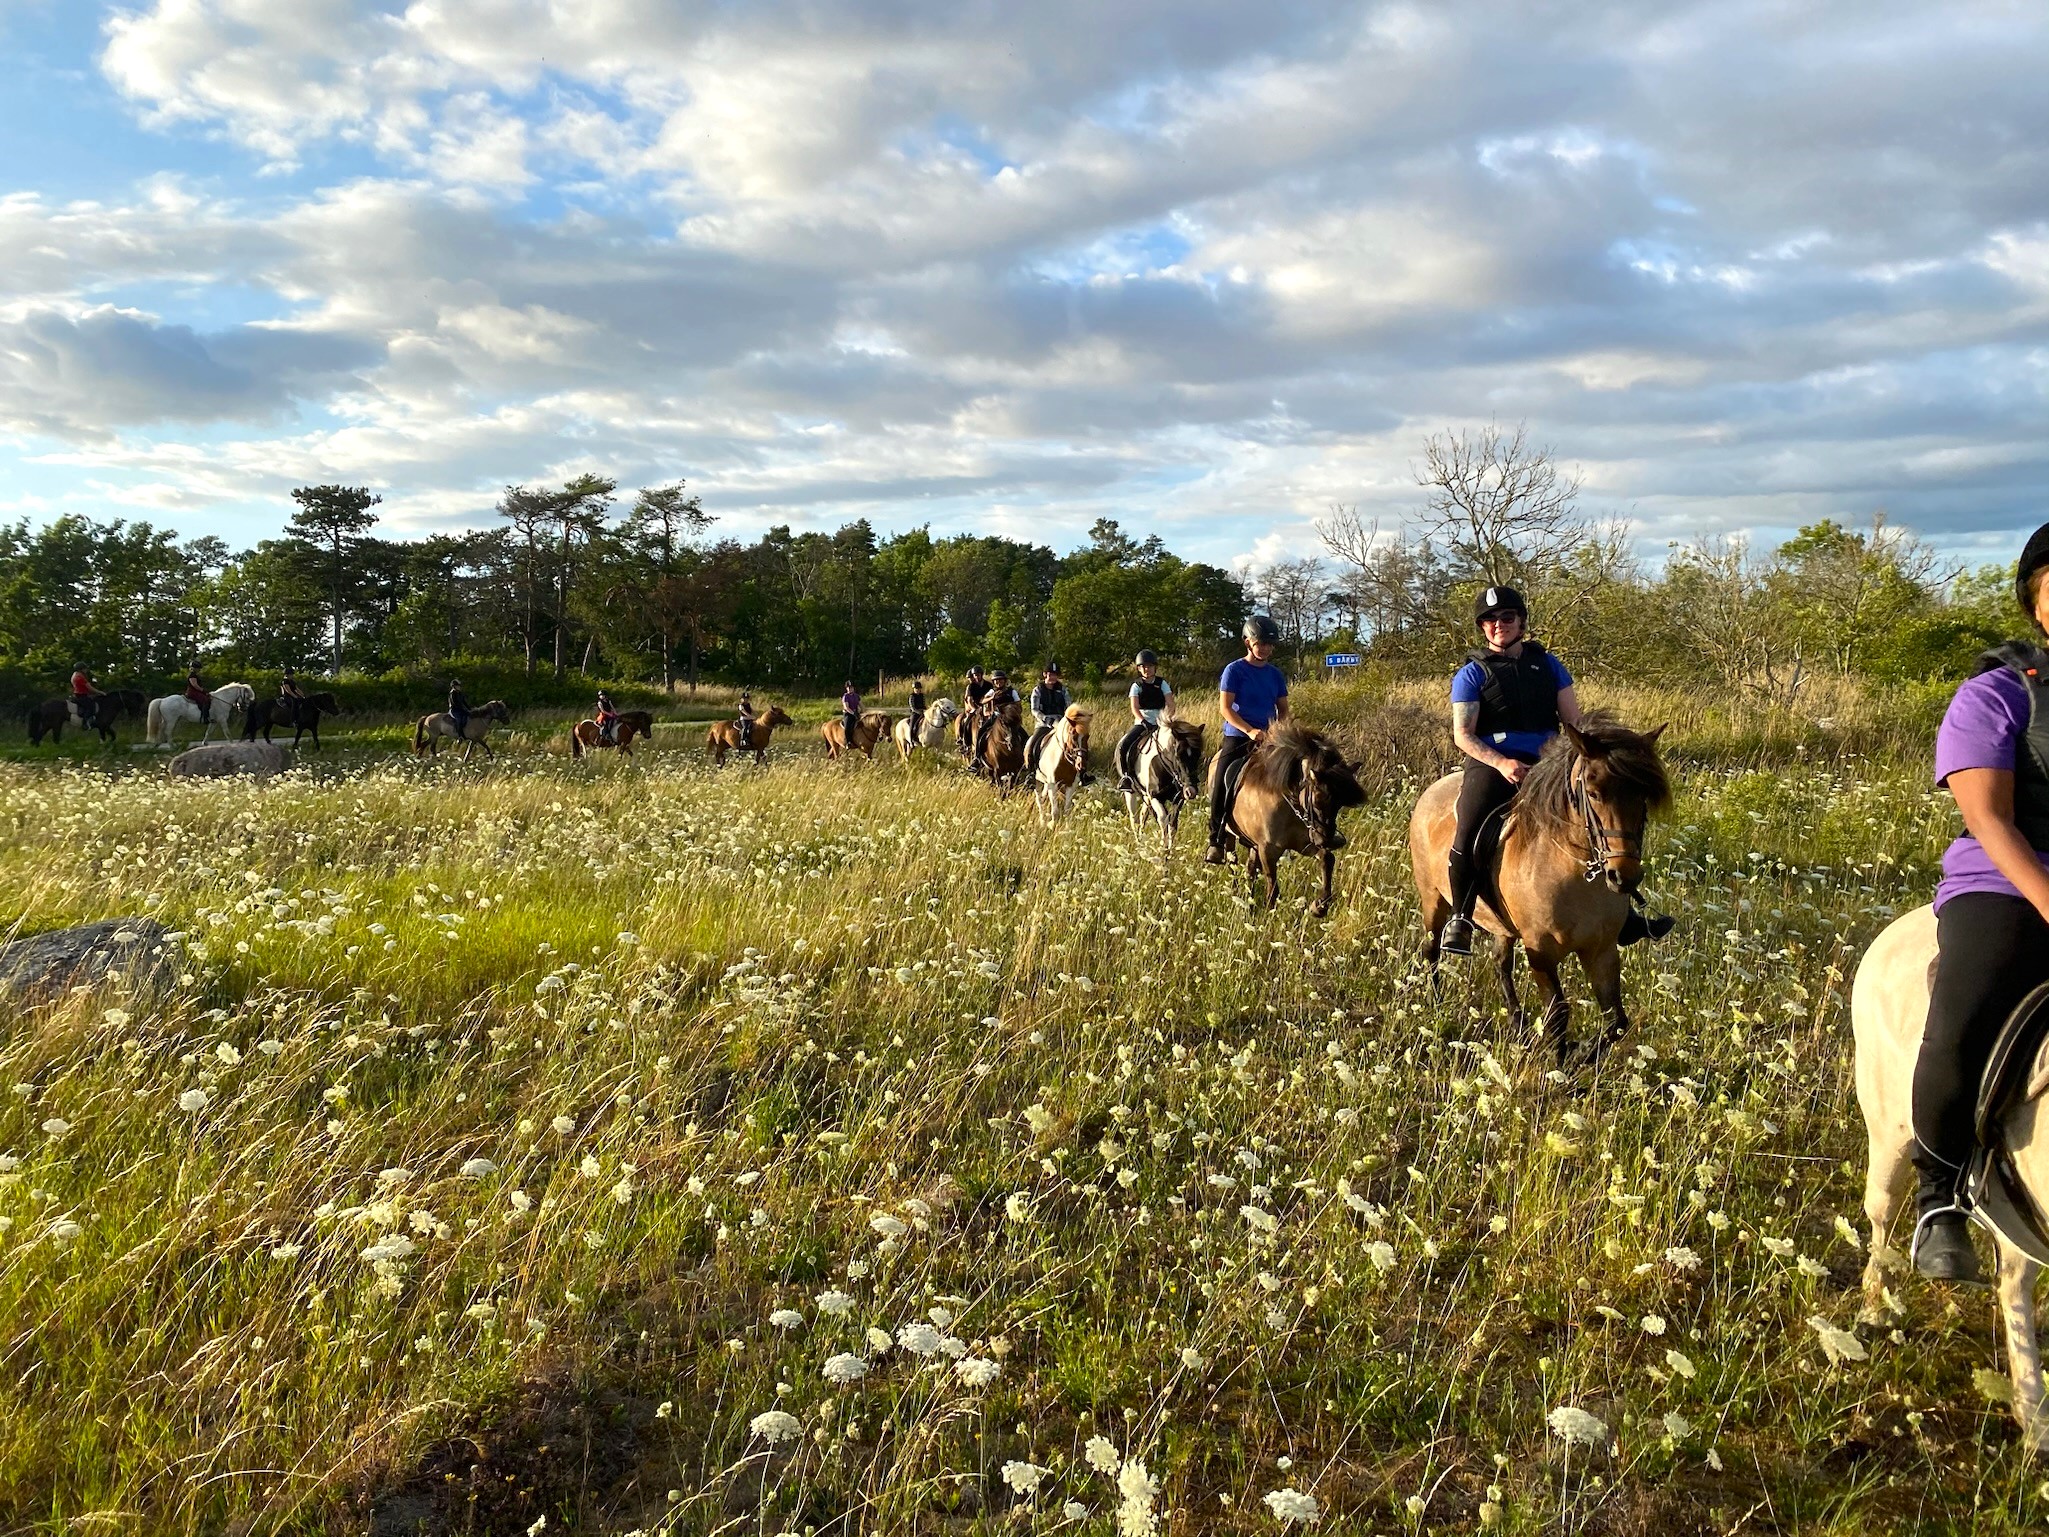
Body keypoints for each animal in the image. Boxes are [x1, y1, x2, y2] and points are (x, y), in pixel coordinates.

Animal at [1122, 721, 1196, 868]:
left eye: (1198, 755)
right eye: (1178, 756)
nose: (1191, 791)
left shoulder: (1178, 799)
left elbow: (1172, 825)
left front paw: (1169, 854)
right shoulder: (1155, 797)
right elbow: (1163, 820)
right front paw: (1162, 852)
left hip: (1146, 796)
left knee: (1143, 816)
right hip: (1131, 793)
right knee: (1134, 819)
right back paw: (1138, 844)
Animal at [1221, 721, 1368, 914]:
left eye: (1340, 804)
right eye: (1317, 800)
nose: (1325, 840)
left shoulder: (1303, 842)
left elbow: (1327, 859)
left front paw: (1319, 906)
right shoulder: (1267, 849)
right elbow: (1273, 886)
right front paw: (1270, 914)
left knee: (1250, 869)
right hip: (1229, 834)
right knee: (1232, 861)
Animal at [1401, 713, 1671, 1065]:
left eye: (1643, 795)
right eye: (1594, 793)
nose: (1623, 876)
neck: (1573, 871)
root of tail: (1434, 789)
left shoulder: (1602, 951)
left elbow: (1616, 1021)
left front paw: (1581, 1053)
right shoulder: (1540, 952)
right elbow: (1558, 1014)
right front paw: (1560, 1066)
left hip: (1502, 925)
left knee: (1500, 963)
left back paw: (1519, 1025)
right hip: (1433, 899)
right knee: (1431, 949)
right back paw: (1437, 1003)